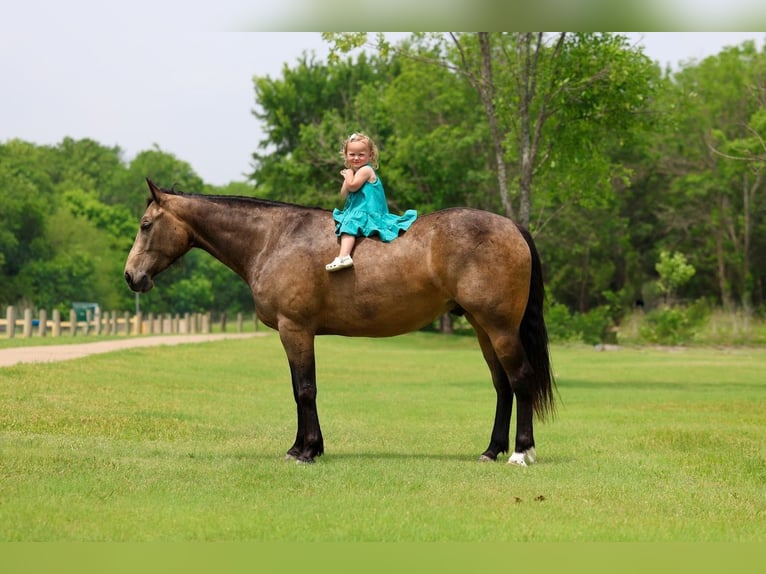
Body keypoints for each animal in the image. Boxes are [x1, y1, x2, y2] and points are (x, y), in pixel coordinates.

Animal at [124, 179, 556, 465]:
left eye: (146, 224)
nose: (131, 276)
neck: (273, 238)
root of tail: (511, 226)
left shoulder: (295, 329)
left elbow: (305, 390)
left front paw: (305, 451)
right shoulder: (297, 333)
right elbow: (299, 390)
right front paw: (304, 446)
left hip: (500, 328)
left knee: (520, 379)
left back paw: (521, 452)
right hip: (483, 329)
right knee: (502, 386)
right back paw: (492, 450)